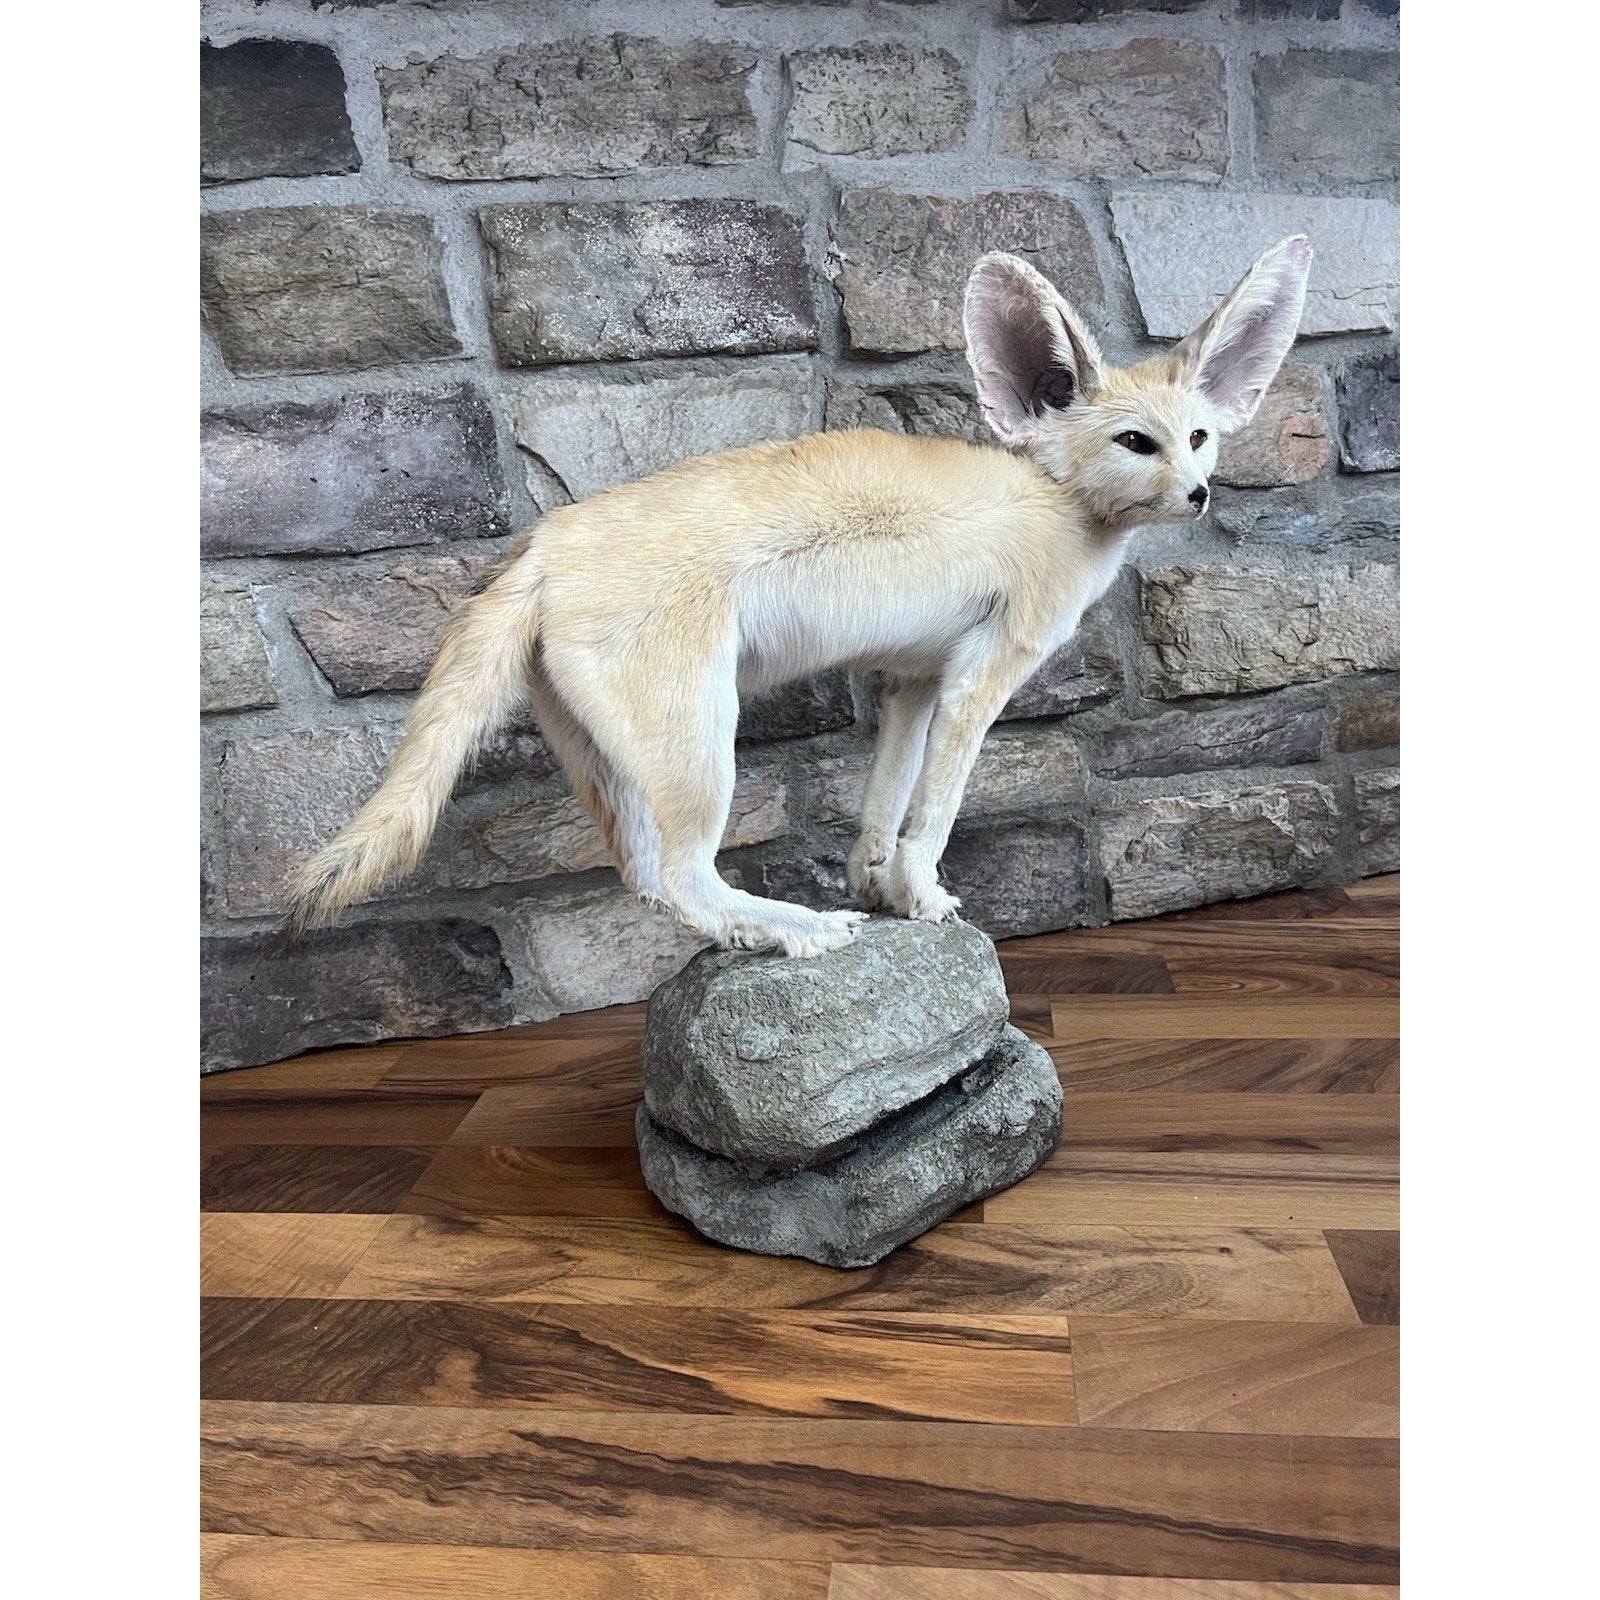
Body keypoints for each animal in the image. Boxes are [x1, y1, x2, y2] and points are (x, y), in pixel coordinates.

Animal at [287, 235, 1313, 959]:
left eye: (1200, 437)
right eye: (1138, 443)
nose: (1199, 494)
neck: (1058, 503)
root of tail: (544, 545)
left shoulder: (913, 680)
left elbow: (883, 805)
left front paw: (879, 888)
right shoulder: (981, 679)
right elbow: (935, 813)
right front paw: (924, 899)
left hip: (617, 765)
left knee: (650, 884)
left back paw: (769, 929)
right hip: (702, 750)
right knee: (684, 878)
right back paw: (801, 930)